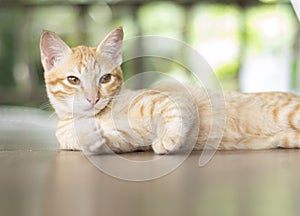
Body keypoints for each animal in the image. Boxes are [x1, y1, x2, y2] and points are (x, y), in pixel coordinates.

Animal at [39, 27, 300, 154]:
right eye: (73, 79)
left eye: (105, 78)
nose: (93, 98)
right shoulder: (127, 141)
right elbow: (98, 139)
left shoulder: (174, 97)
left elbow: (175, 114)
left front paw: (169, 139)